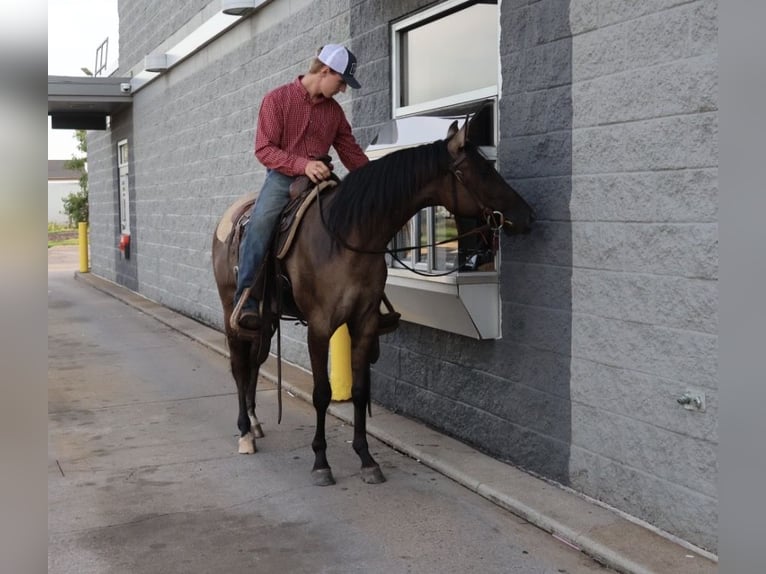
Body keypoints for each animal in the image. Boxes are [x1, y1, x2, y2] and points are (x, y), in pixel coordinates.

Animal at [212, 116, 535, 486]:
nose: (527, 215)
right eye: (480, 171)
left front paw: (366, 458)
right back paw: (244, 433)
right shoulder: (319, 327)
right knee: (239, 367)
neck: (345, 237)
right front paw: (321, 461)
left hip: (266, 321)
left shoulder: (364, 323)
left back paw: (255, 423)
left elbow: (361, 390)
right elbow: (321, 393)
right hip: (232, 311)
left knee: (254, 362)